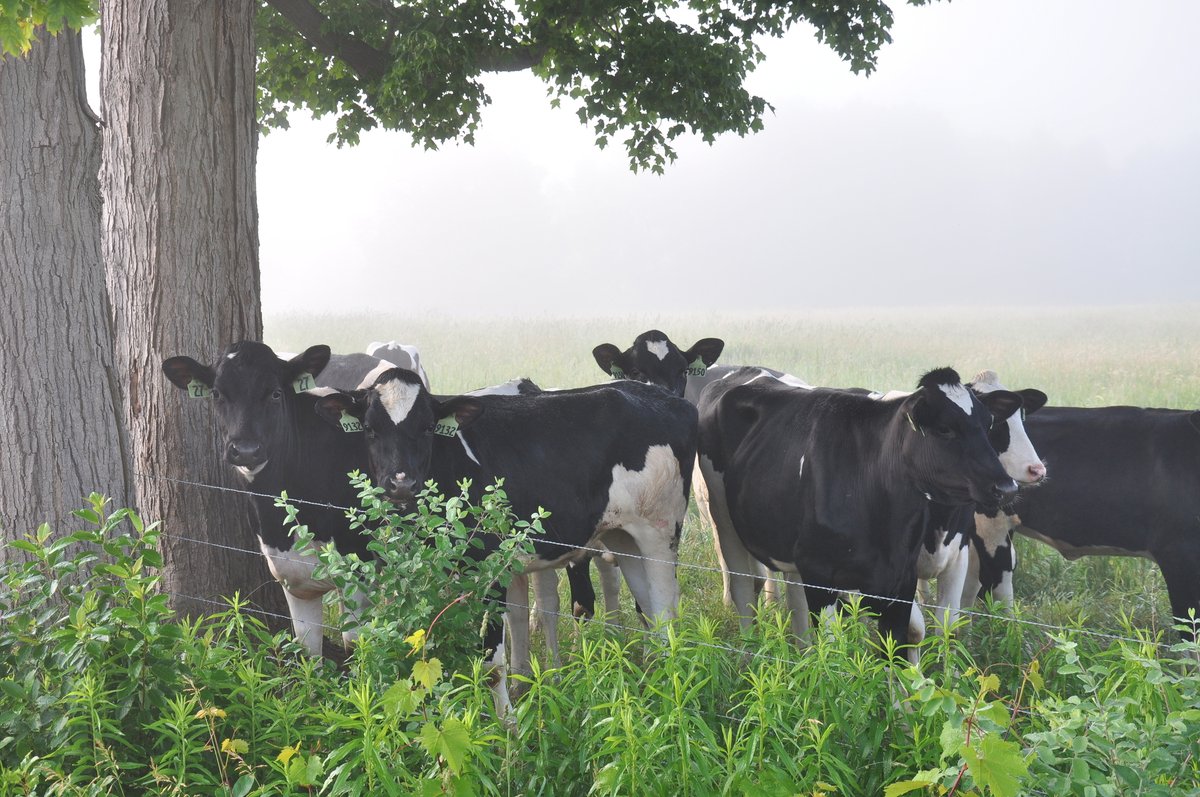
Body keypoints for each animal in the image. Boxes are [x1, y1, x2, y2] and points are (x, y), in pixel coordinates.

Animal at [314, 369, 698, 713]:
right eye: (370, 429)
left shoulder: (490, 571)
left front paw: (508, 730)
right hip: (624, 537)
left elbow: (491, 664)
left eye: (426, 427)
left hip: (660, 533)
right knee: (650, 613)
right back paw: (651, 680)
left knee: (666, 614)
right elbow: (430, 650)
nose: (401, 484)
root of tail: (660, 395)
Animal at [697, 366, 1021, 659]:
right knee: (742, 587)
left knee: (794, 600)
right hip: (725, 522)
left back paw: (801, 657)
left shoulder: (902, 578)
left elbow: (903, 644)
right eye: (945, 428)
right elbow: (834, 651)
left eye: (988, 424)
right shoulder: (823, 575)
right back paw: (746, 659)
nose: (1007, 487)